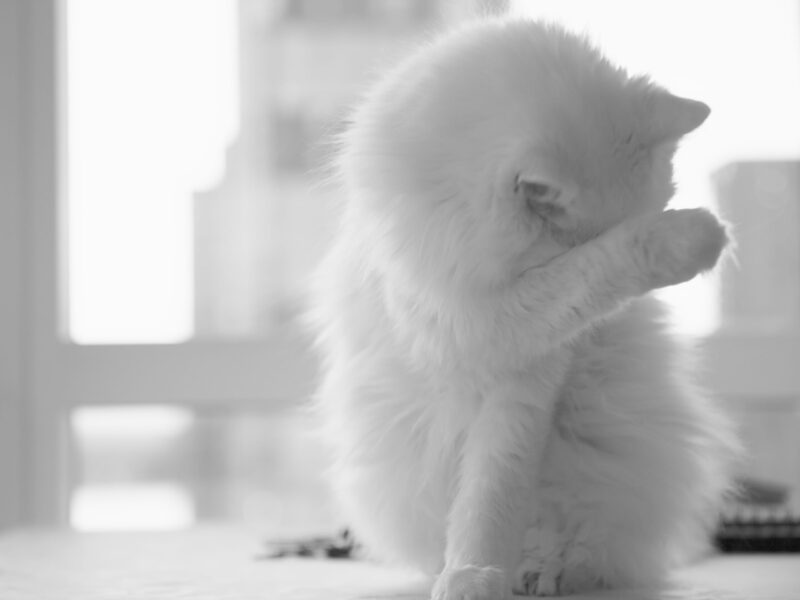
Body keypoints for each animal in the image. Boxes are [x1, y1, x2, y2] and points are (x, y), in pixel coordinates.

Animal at [310, 16, 740, 596]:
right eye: (573, 241)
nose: (605, 327)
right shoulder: (482, 326)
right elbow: (601, 269)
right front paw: (472, 576)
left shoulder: (524, 382)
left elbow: (494, 493)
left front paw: (478, 573)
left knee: (577, 545)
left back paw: (542, 572)